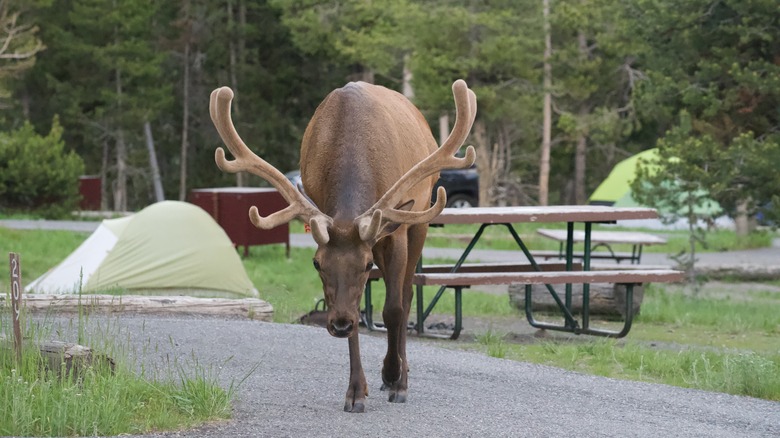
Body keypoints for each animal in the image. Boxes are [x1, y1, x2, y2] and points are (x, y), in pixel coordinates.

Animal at [209, 79, 476, 413]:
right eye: (316, 263)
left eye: (366, 264)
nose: (338, 325)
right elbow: (356, 310)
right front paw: (356, 391)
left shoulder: (395, 231)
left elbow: (394, 308)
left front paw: (393, 375)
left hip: (420, 221)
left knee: (407, 294)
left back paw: (399, 378)